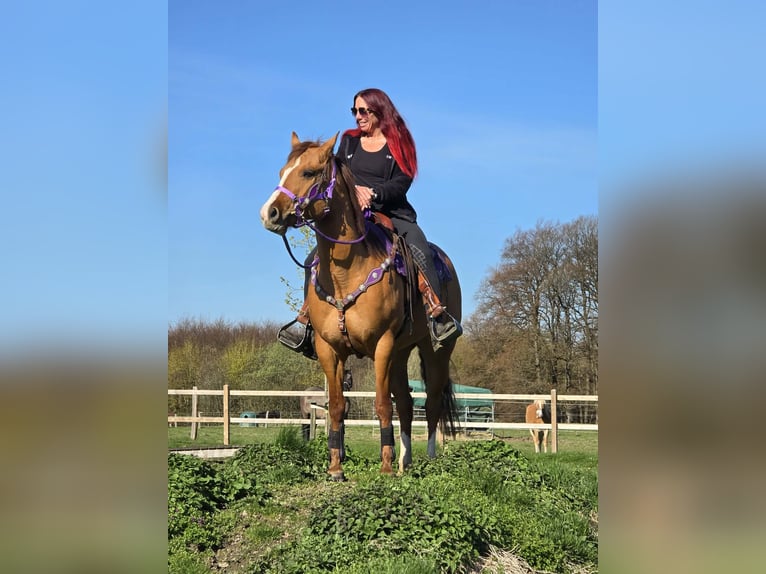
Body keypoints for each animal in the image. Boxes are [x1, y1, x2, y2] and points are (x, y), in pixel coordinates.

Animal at [260, 132, 461, 480]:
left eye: (309, 172)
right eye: (282, 172)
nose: (268, 213)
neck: (346, 271)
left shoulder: (382, 344)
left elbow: (381, 404)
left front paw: (385, 467)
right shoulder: (330, 349)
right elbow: (337, 406)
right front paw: (335, 467)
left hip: (434, 350)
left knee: (432, 401)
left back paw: (429, 459)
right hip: (401, 353)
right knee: (406, 402)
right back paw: (405, 462)